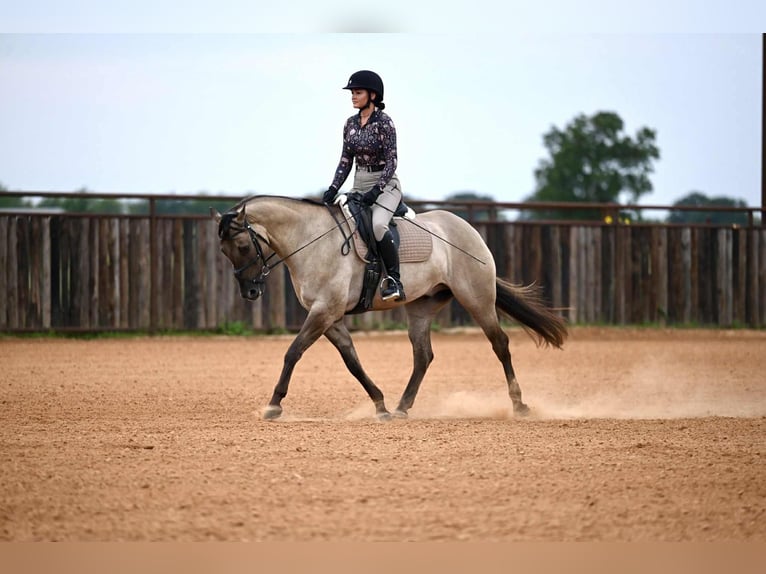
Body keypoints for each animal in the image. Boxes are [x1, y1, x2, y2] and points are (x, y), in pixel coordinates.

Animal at [212, 194, 567, 421]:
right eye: (225, 252)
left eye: (242, 246)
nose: (250, 291)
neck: (311, 240)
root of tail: (467, 228)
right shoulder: (330, 318)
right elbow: (352, 363)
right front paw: (380, 405)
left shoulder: (324, 312)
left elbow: (292, 352)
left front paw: (273, 406)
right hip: (421, 308)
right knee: (423, 356)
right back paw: (401, 407)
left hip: (477, 299)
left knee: (500, 344)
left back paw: (519, 406)